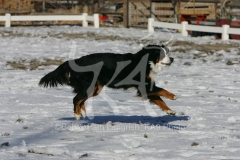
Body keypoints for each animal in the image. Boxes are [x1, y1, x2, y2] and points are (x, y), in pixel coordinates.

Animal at [39, 44, 176, 119]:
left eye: (167, 53)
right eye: (162, 54)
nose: (172, 59)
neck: (147, 61)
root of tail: (76, 60)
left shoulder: (146, 88)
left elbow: (160, 100)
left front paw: (170, 111)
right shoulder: (144, 86)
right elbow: (162, 91)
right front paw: (173, 96)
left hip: (95, 88)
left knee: (80, 99)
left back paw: (83, 112)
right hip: (89, 86)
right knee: (76, 99)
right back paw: (77, 115)